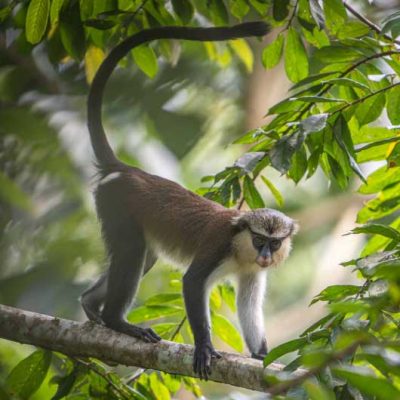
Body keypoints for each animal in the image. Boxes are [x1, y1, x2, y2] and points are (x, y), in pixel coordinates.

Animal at [80, 22, 298, 380]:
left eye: (274, 243)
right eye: (259, 240)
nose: (266, 255)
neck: (241, 248)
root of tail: (127, 170)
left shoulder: (253, 272)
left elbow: (249, 306)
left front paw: (262, 355)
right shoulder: (217, 244)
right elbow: (192, 282)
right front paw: (205, 348)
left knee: (143, 258)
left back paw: (89, 303)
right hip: (116, 207)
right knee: (132, 253)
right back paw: (117, 321)